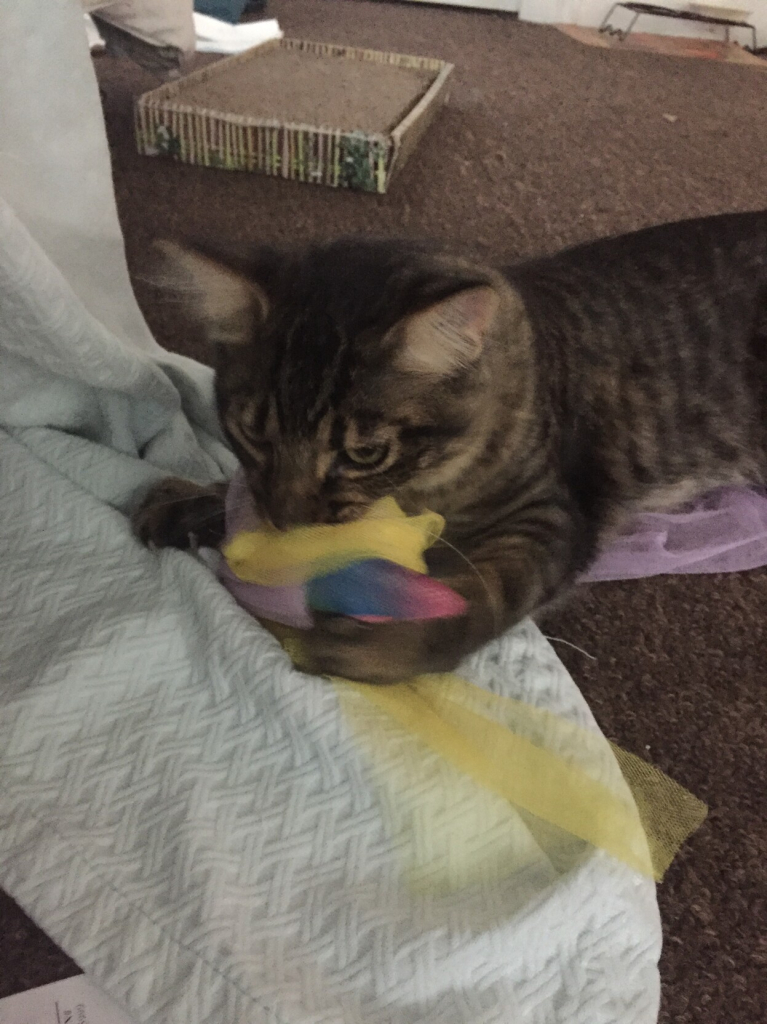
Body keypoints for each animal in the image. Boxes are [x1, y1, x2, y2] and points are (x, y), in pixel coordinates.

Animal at [134, 208, 765, 684]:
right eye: (254, 433)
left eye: (363, 455)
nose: (289, 525)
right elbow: (233, 492)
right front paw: (191, 501)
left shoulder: (553, 513)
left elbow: (475, 597)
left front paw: (377, 646)